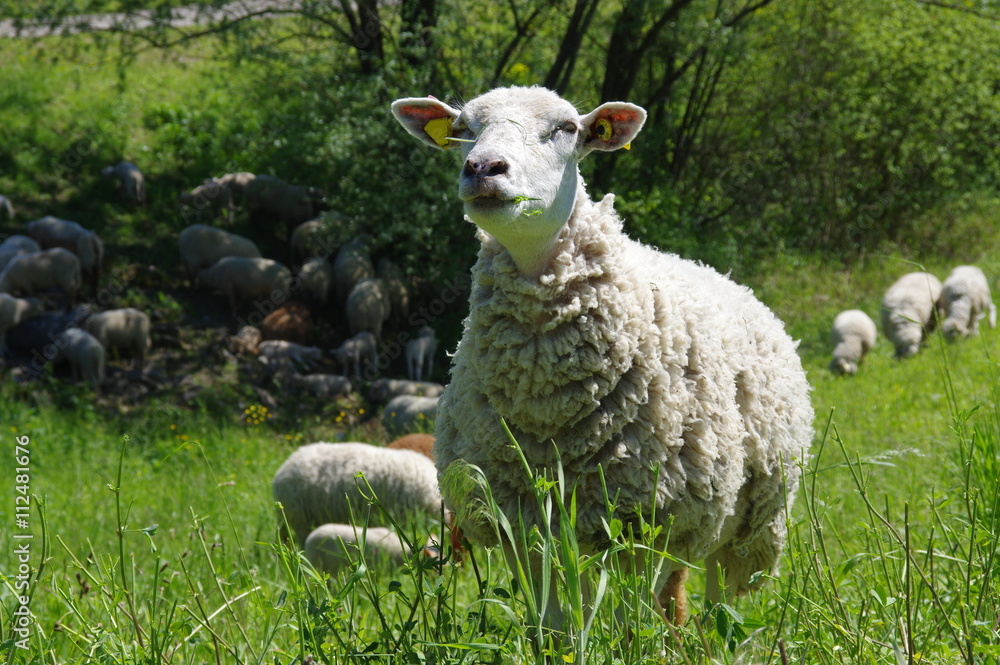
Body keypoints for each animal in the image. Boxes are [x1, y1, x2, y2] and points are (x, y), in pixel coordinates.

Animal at [392, 85, 814, 624]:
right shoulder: (522, 525)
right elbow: (554, 625)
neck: (547, 401)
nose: (483, 167)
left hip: (750, 524)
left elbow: (630, 624)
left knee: (719, 607)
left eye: (567, 128)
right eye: (464, 129)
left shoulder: (650, 521)